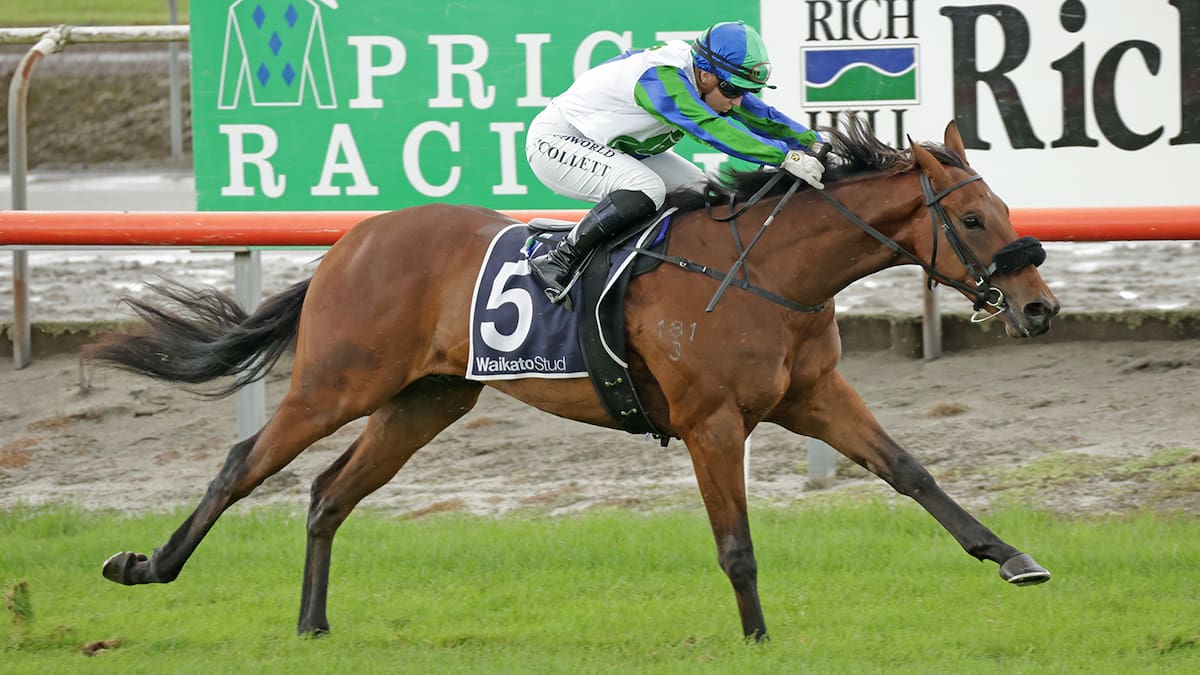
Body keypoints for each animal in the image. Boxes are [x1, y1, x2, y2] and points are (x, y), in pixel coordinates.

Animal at [85, 119, 1059, 641]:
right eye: (975, 218)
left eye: (1006, 207)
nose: (1041, 307)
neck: (765, 269)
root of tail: (349, 243)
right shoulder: (711, 421)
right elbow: (737, 544)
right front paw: (758, 637)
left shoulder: (812, 397)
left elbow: (911, 471)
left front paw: (1014, 557)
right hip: (336, 381)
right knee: (243, 463)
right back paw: (146, 565)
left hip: (426, 400)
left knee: (328, 491)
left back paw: (312, 623)